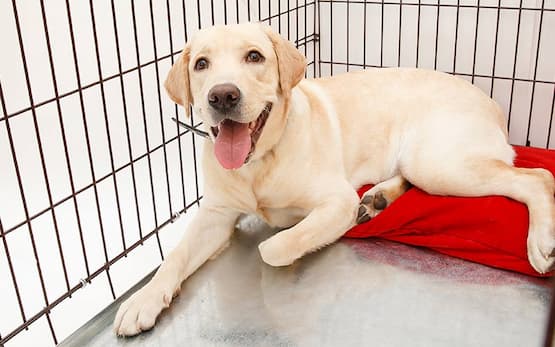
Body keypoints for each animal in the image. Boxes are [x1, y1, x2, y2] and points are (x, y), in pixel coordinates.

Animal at [113, 22, 555, 338]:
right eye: (201, 64)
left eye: (254, 56)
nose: (222, 96)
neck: (259, 164)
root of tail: (490, 101)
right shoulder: (215, 216)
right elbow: (173, 257)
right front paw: (144, 299)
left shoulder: (335, 201)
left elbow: (274, 247)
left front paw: (294, 240)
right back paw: (378, 198)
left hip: (438, 163)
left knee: (536, 176)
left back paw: (540, 242)